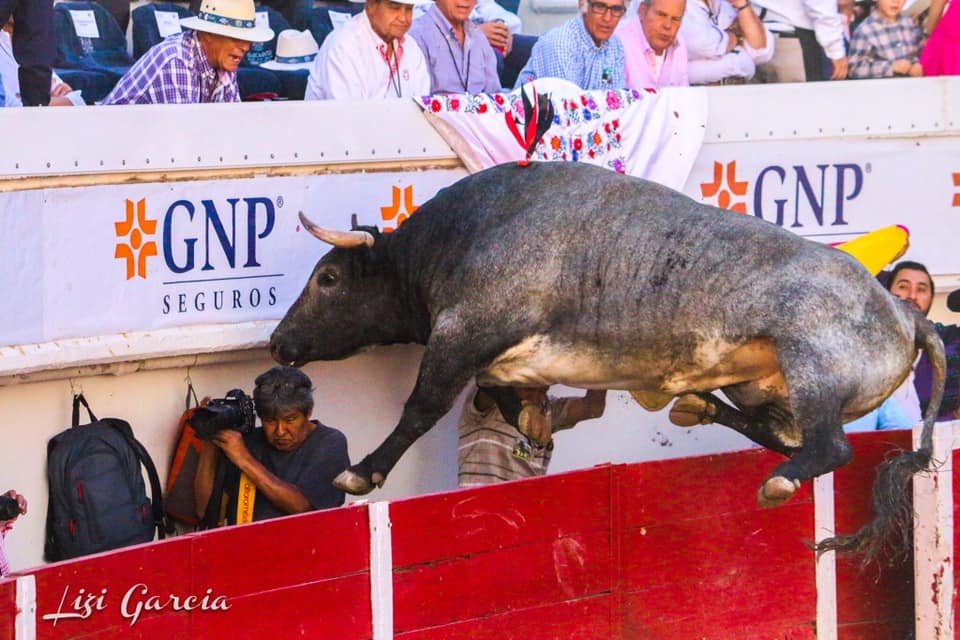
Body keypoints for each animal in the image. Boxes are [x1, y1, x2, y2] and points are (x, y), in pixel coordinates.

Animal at [271, 161, 945, 560]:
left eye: (328, 278)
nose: (279, 343)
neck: (456, 241)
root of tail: (903, 309)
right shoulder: (498, 355)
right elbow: (506, 399)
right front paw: (533, 421)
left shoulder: (461, 334)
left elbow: (421, 407)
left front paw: (361, 473)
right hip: (766, 386)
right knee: (782, 435)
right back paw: (696, 407)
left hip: (813, 367)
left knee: (829, 447)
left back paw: (773, 478)